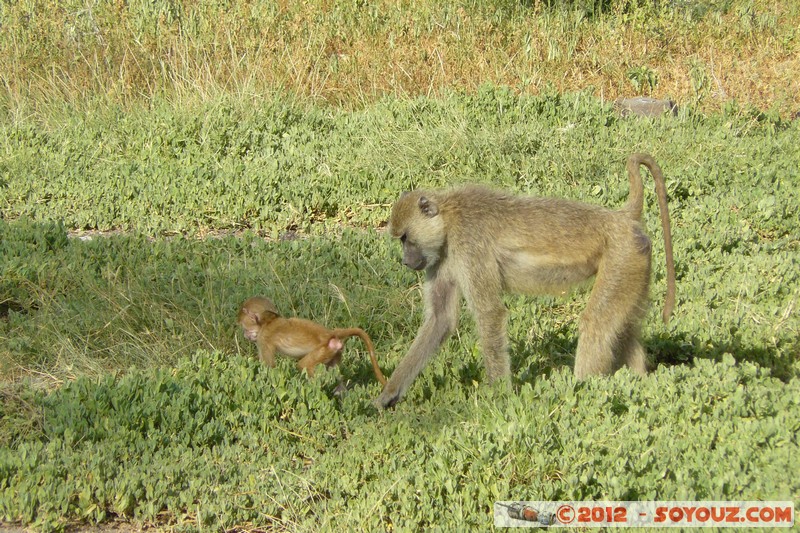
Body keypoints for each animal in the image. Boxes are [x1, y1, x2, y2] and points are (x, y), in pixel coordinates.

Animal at [237, 296, 387, 385]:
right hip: (334, 350)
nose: (245, 335)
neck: (268, 321)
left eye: (245, 328)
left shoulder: (264, 338)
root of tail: (330, 333)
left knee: (304, 365)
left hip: (323, 349)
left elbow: (269, 367)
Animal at [375, 153, 675, 409]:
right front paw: (388, 394)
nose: (406, 261)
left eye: (405, 238)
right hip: (635, 262)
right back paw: (637, 382)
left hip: (622, 257)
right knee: (624, 328)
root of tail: (621, 218)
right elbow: (441, 319)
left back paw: (581, 394)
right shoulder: (440, 260)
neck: (448, 220)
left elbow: (490, 313)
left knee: (597, 324)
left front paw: (500, 398)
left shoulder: (470, 244)